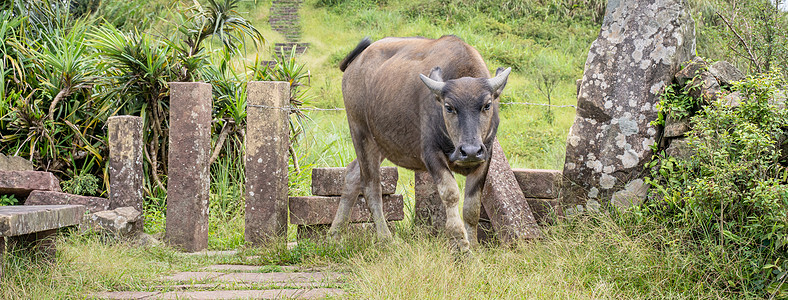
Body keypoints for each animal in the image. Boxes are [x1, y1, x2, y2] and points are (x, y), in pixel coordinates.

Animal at [328, 35, 508, 253]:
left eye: (487, 105)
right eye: (449, 107)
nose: (470, 151)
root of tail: (355, 62)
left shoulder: (485, 156)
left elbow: (472, 206)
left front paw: (473, 246)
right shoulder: (431, 155)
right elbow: (451, 194)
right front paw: (461, 246)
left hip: (382, 143)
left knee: (352, 174)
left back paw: (334, 235)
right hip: (360, 132)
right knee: (370, 185)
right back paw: (386, 238)